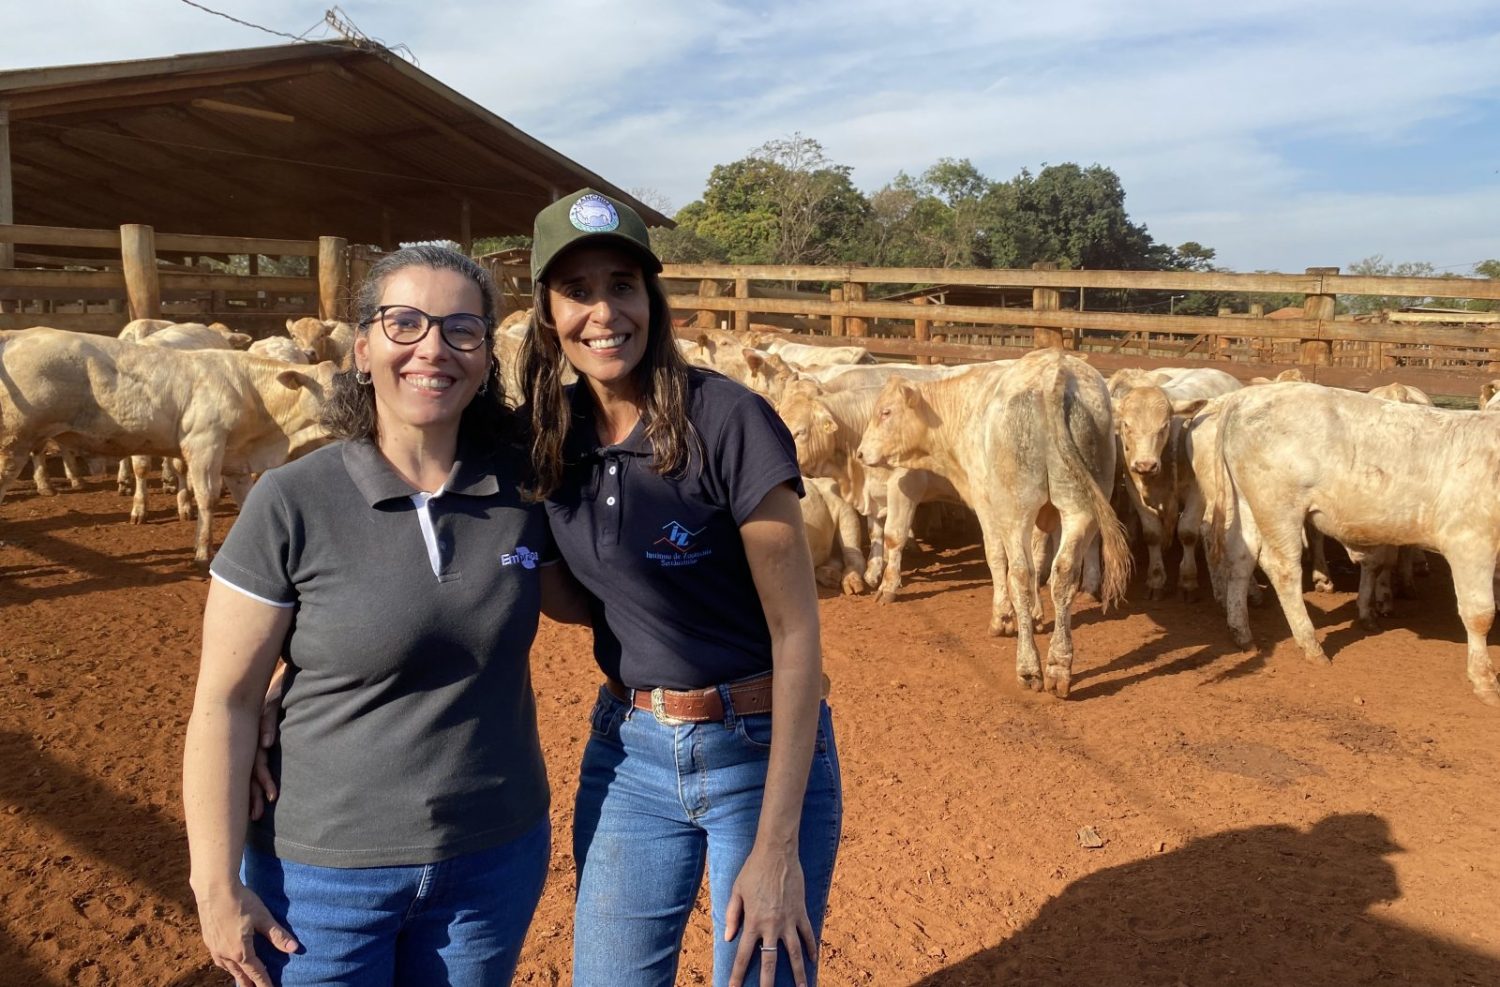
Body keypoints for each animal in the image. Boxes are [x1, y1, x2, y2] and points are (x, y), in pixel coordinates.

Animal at [1200, 381, 1500, 702]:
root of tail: (1246, 395)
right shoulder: (1470, 541)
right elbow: (1480, 613)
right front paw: (1484, 680)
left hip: (1247, 504)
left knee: (1241, 558)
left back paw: (1241, 632)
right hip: (1279, 506)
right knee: (1282, 568)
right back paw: (1310, 644)